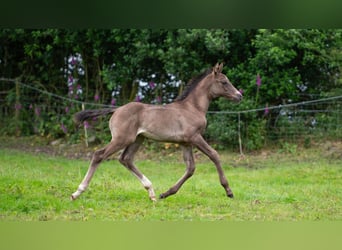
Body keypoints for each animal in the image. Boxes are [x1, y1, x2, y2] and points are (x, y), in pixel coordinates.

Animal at [71, 63, 242, 201]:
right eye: (224, 82)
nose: (239, 96)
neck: (192, 108)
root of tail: (117, 109)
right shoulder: (195, 137)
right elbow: (214, 155)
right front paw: (229, 191)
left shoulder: (185, 142)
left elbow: (190, 168)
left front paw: (166, 193)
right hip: (122, 139)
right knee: (99, 155)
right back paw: (77, 192)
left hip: (137, 139)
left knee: (126, 159)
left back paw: (152, 192)